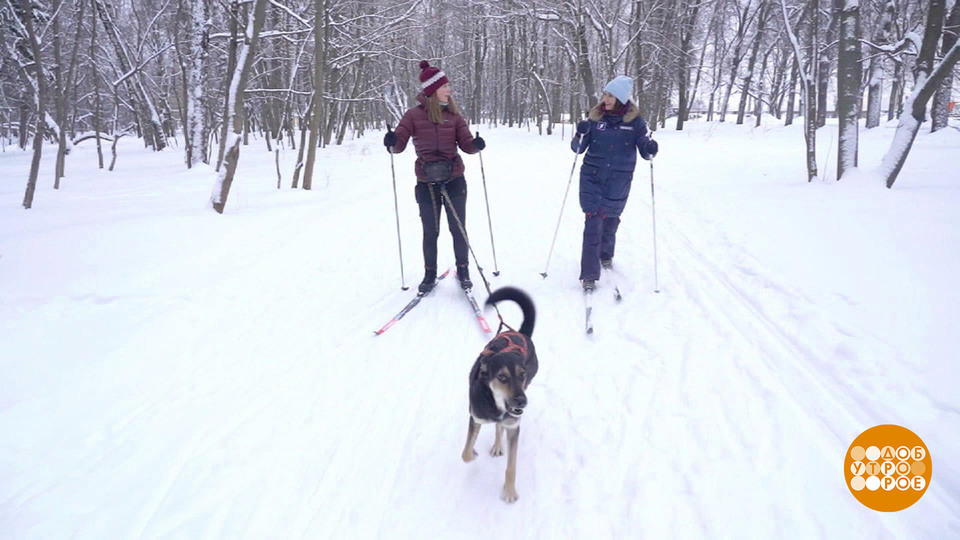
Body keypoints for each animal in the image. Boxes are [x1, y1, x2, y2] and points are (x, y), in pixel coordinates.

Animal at [462, 286, 536, 502]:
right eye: (502, 377)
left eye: (522, 375)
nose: (521, 401)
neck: (496, 405)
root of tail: (519, 333)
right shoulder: (475, 418)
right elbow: (466, 453)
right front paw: (473, 453)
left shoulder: (513, 427)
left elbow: (511, 466)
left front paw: (509, 491)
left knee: (499, 428)